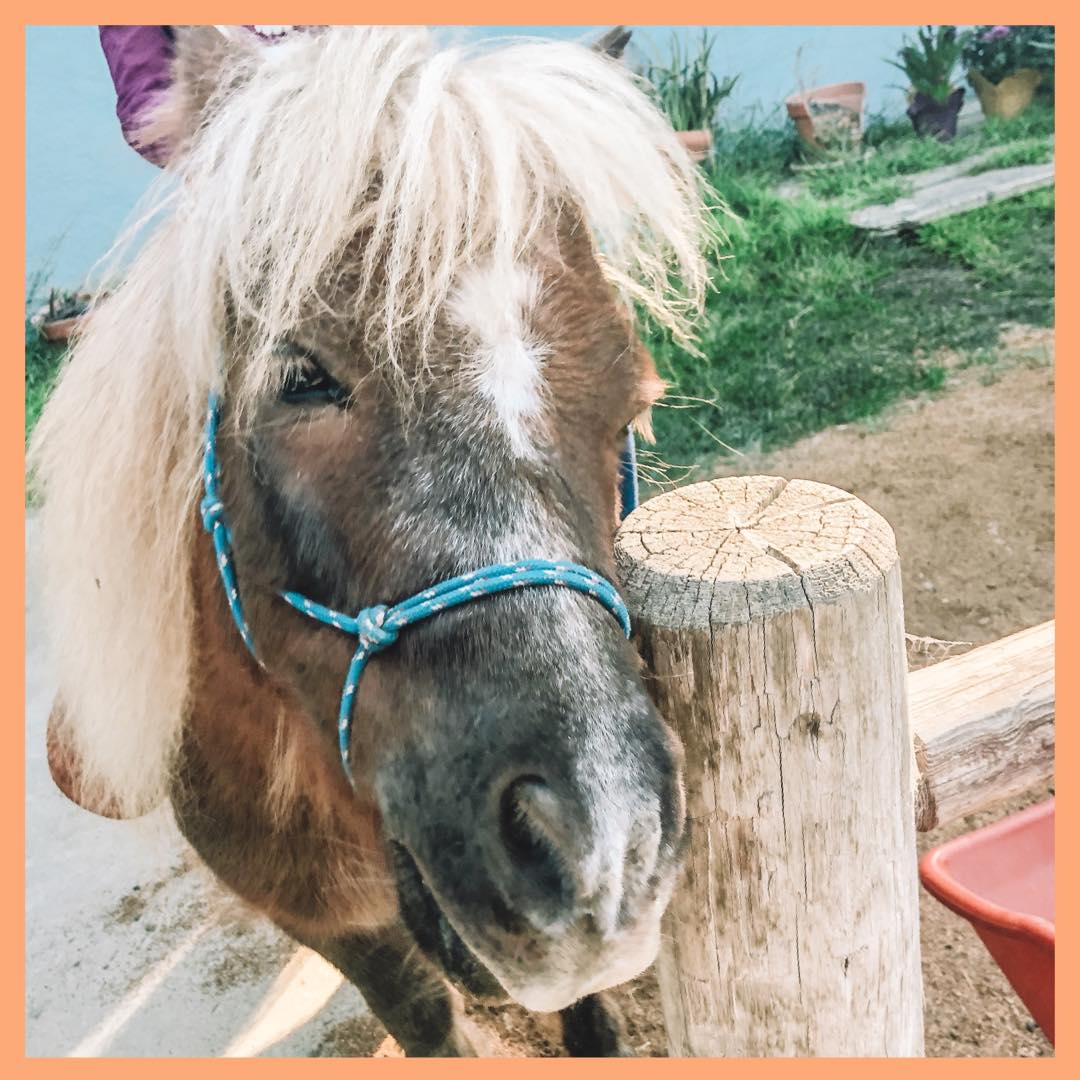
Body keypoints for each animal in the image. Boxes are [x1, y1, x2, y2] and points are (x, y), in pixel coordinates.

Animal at [30, 25, 712, 1056]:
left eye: (633, 396)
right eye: (300, 378)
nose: (603, 847)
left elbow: (590, 1018)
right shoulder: (330, 924)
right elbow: (426, 1018)